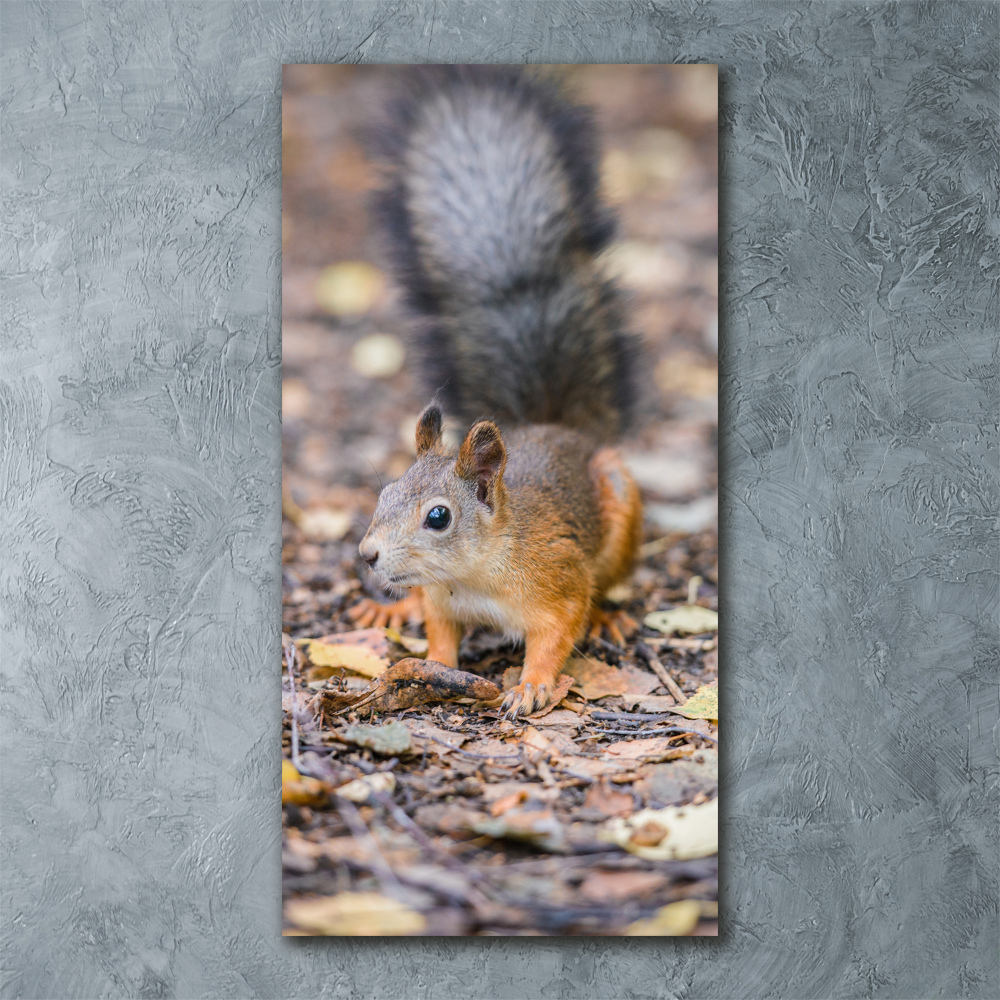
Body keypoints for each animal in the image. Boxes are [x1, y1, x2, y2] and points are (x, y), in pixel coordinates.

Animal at [352, 64, 644, 720]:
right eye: (384, 492)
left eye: (439, 517)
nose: (368, 556)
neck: (477, 573)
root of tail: (556, 427)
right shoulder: (441, 599)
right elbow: (438, 633)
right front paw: (429, 660)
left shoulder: (558, 580)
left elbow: (558, 631)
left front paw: (532, 684)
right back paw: (387, 607)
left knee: (606, 586)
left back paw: (609, 616)